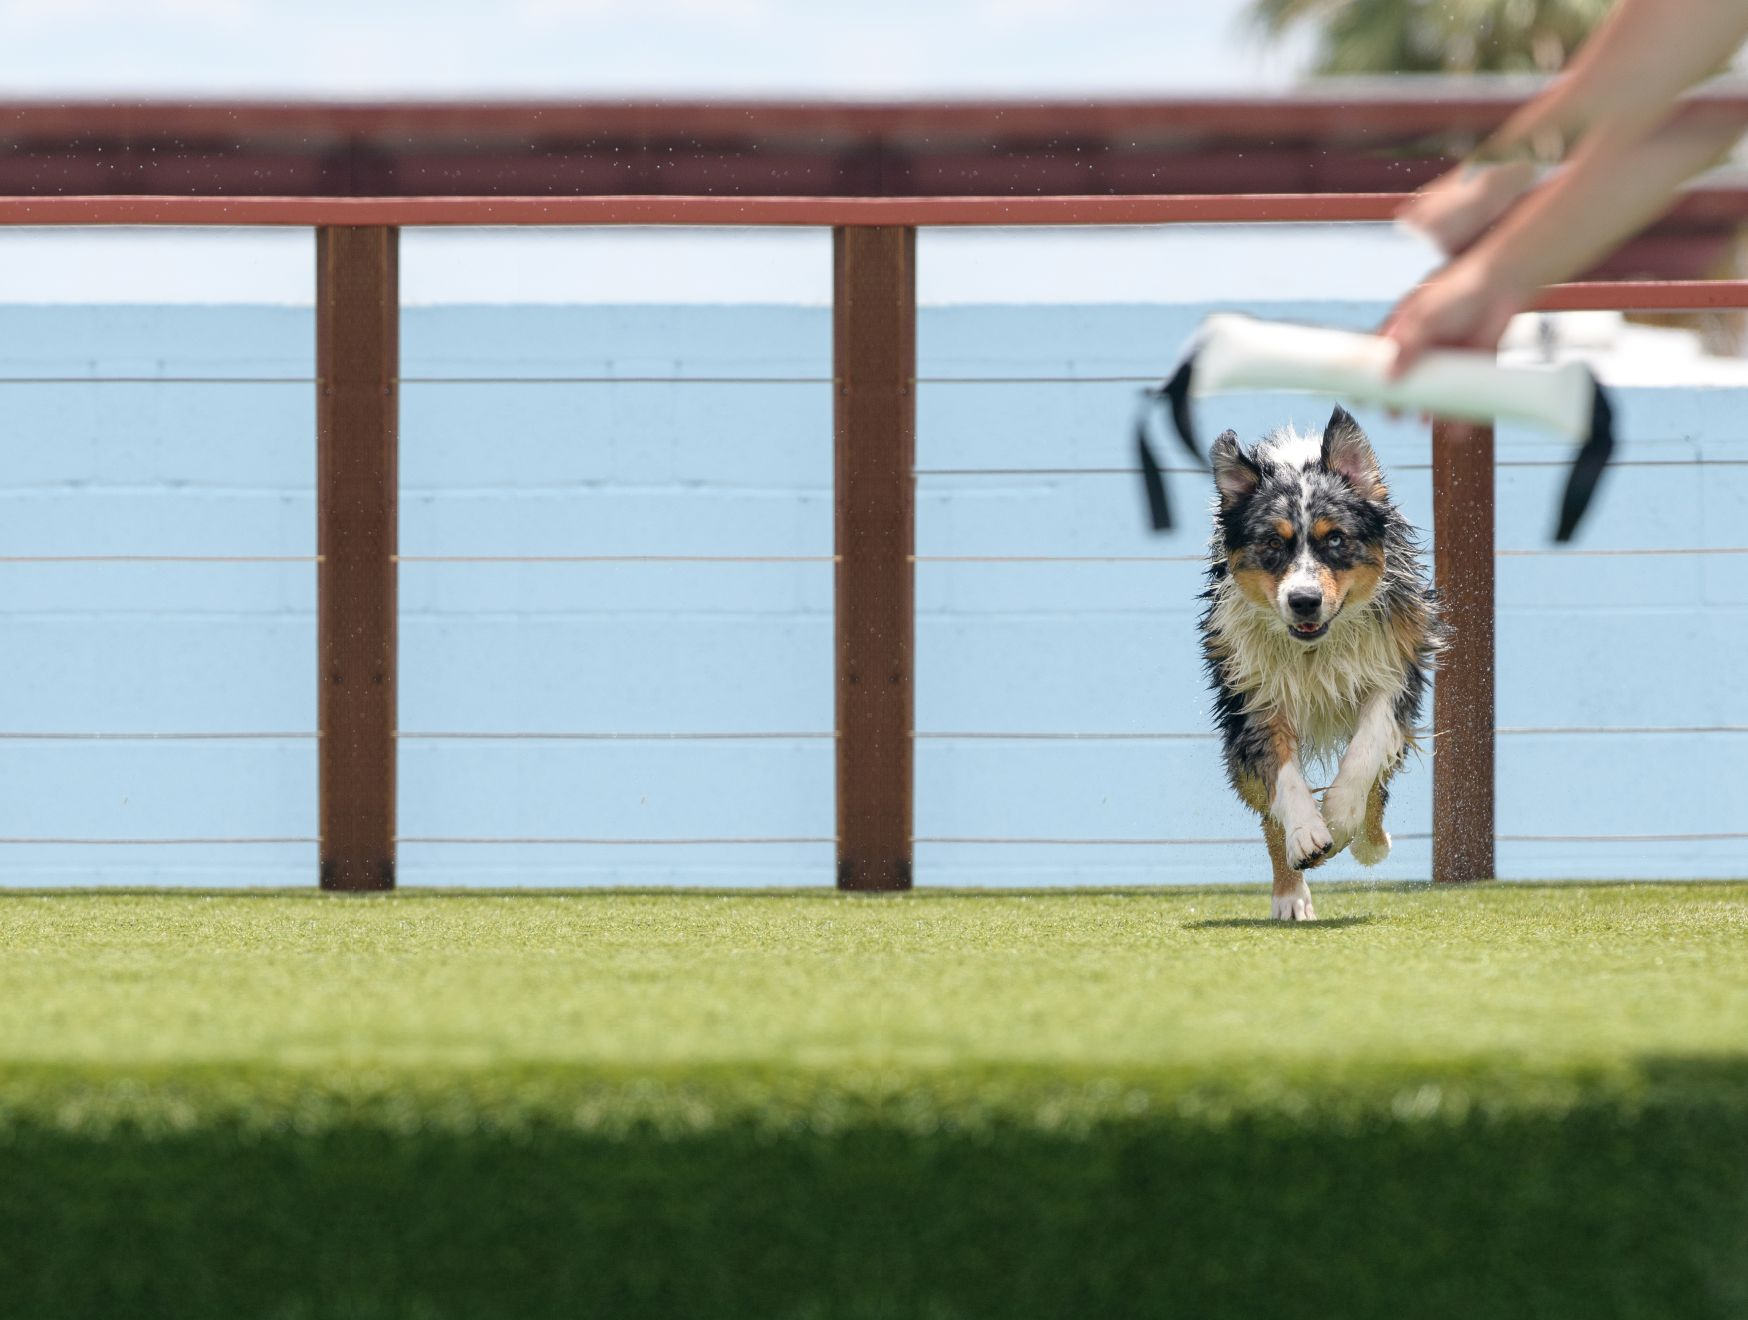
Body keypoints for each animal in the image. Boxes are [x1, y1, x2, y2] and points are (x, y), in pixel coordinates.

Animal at [1202, 407, 1447, 923]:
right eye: (1272, 544)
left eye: (1335, 539)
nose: (1304, 601)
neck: (1317, 647)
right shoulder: (1251, 693)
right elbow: (1281, 777)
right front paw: (1308, 834)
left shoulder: (1395, 667)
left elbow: (1368, 748)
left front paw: (1339, 817)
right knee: (1265, 810)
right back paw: (1290, 894)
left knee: (1380, 782)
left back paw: (1371, 842)